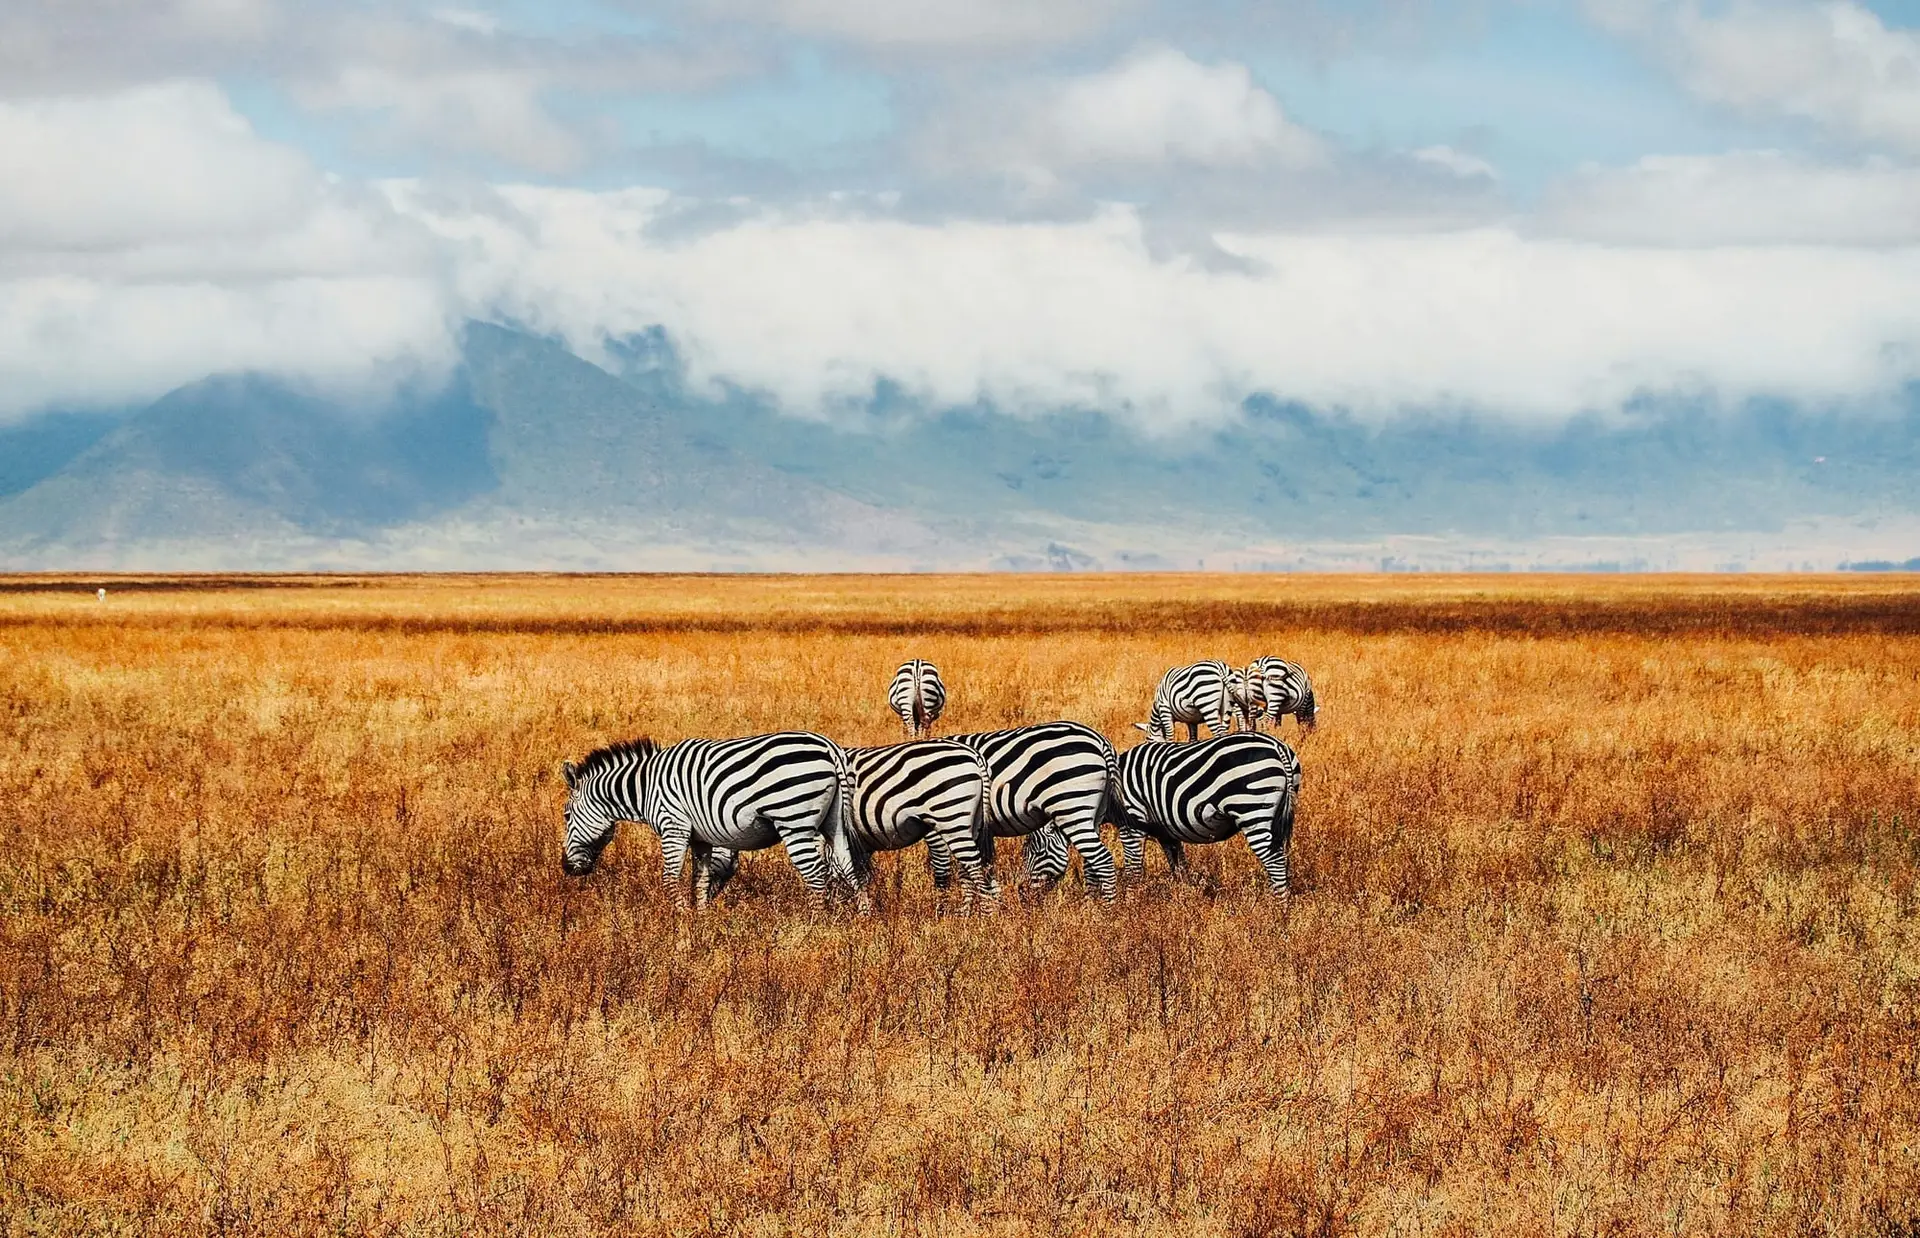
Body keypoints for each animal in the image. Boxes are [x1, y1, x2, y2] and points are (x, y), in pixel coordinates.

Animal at [561, 732, 863, 911]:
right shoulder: (701, 838)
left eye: (566, 815)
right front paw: (701, 921)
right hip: (834, 821)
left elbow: (670, 880)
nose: (565, 868)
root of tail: (829, 747)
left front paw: (680, 926)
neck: (646, 787)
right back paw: (862, 920)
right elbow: (701, 882)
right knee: (849, 867)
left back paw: (814, 927)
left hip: (794, 820)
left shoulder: (674, 827)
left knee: (816, 875)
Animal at [928, 721, 1120, 901]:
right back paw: (1091, 905)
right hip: (1094, 813)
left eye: (1038, 853)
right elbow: (980, 866)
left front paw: (948, 906)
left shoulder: (941, 823)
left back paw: (1107, 908)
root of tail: (1099, 740)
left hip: (1071, 807)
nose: (1022, 891)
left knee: (1102, 859)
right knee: (1091, 862)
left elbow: (945, 868)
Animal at [1111, 732, 1301, 895]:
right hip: (1277, 814)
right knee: (1281, 855)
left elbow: (1133, 870)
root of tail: (1277, 746)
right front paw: (1185, 896)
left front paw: (1130, 902)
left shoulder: (1133, 821)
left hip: (1252, 809)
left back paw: (1279, 905)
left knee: (1274, 859)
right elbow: (1179, 866)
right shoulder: (1165, 831)